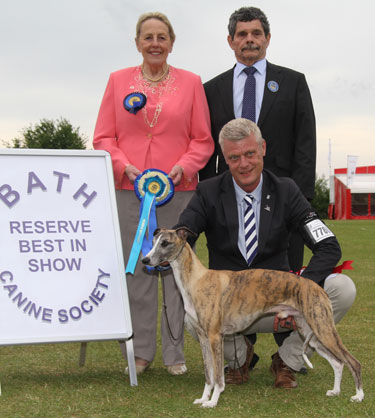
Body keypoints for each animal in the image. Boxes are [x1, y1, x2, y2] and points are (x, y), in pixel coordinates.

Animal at [142, 229, 364, 408]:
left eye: (165, 243)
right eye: (152, 241)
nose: (145, 260)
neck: (197, 279)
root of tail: (316, 287)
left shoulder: (215, 337)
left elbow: (218, 378)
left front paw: (213, 402)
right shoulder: (204, 338)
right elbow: (209, 375)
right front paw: (204, 398)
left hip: (323, 328)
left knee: (352, 362)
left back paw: (358, 396)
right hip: (311, 332)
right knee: (338, 363)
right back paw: (335, 391)